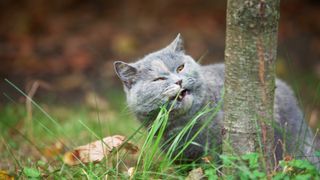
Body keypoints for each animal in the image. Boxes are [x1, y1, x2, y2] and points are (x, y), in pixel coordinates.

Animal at [114, 34, 318, 167]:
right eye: (158, 79)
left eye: (180, 68)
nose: (178, 81)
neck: (185, 126)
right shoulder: (180, 159)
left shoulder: (219, 152)